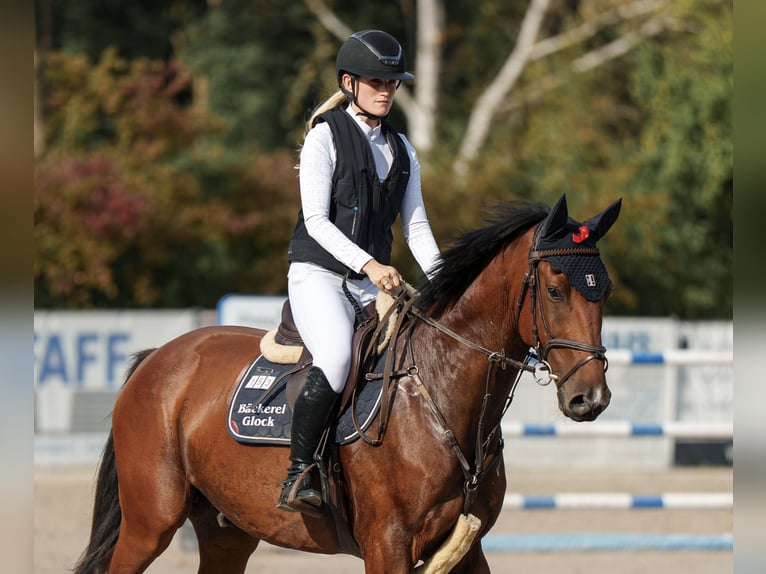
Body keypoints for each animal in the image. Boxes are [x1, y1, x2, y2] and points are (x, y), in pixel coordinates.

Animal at [74, 194, 621, 574]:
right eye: (555, 291)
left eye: (605, 294)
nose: (589, 399)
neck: (437, 393)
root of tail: (160, 358)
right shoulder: (388, 545)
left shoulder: (468, 548)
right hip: (151, 521)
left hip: (226, 531)